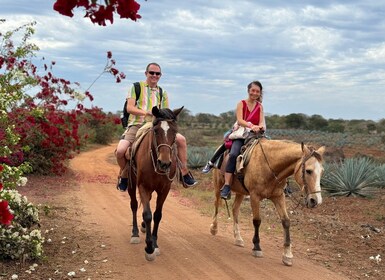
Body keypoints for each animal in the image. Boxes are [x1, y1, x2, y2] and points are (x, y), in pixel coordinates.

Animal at [127, 106, 182, 262]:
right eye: (156, 131)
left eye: (175, 131)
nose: (164, 163)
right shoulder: (143, 187)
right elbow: (147, 214)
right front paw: (149, 248)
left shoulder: (165, 189)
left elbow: (157, 215)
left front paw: (155, 244)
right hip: (131, 183)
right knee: (134, 205)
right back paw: (135, 233)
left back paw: (144, 228)